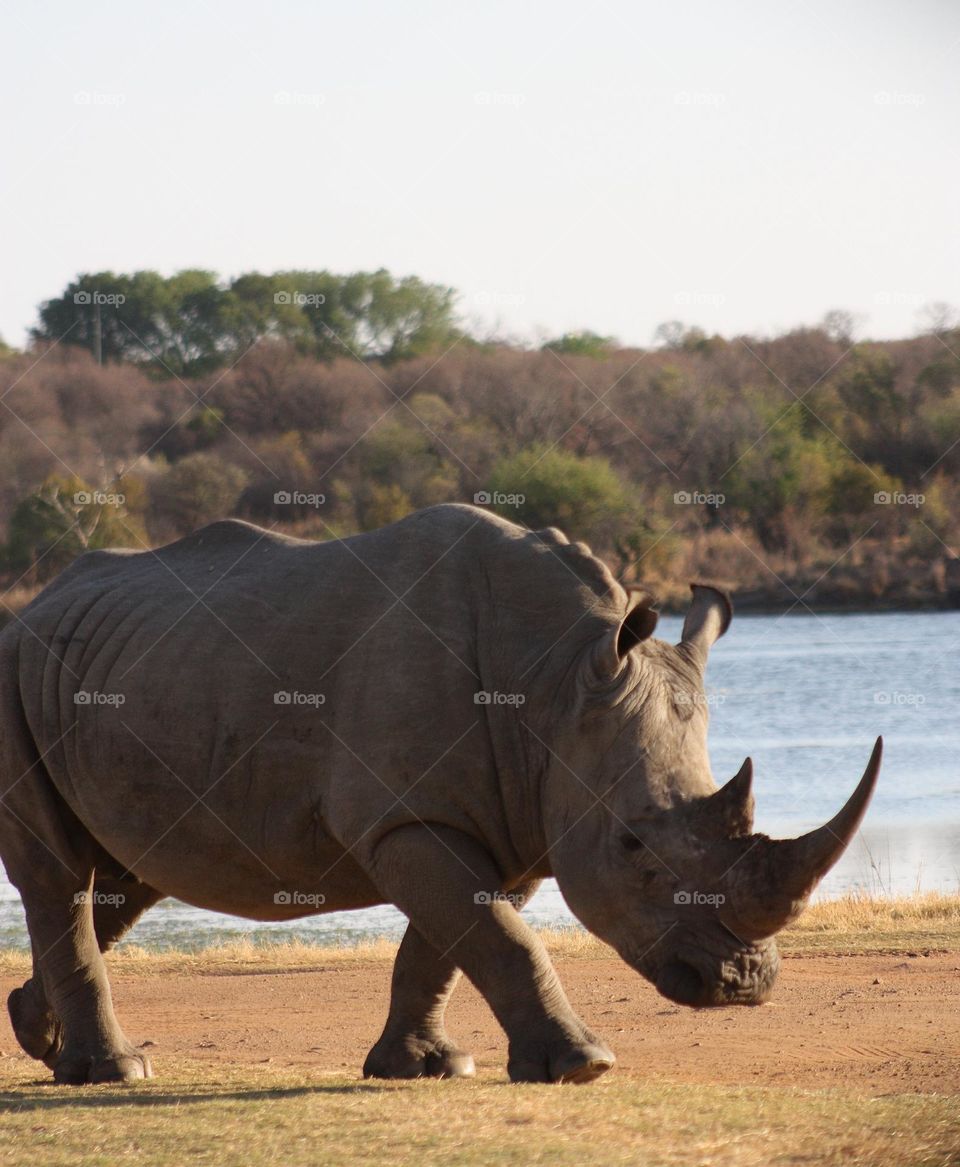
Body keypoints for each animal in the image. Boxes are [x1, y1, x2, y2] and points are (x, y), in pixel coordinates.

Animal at [0, 504, 880, 1085]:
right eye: (636, 847)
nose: (740, 985)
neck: (556, 680)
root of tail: (30, 608)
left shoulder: (511, 817)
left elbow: (453, 940)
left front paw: (423, 1067)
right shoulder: (407, 816)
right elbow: (495, 935)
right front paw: (584, 1065)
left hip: (125, 671)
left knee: (123, 875)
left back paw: (41, 1036)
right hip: (20, 671)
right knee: (58, 872)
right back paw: (114, 1073)